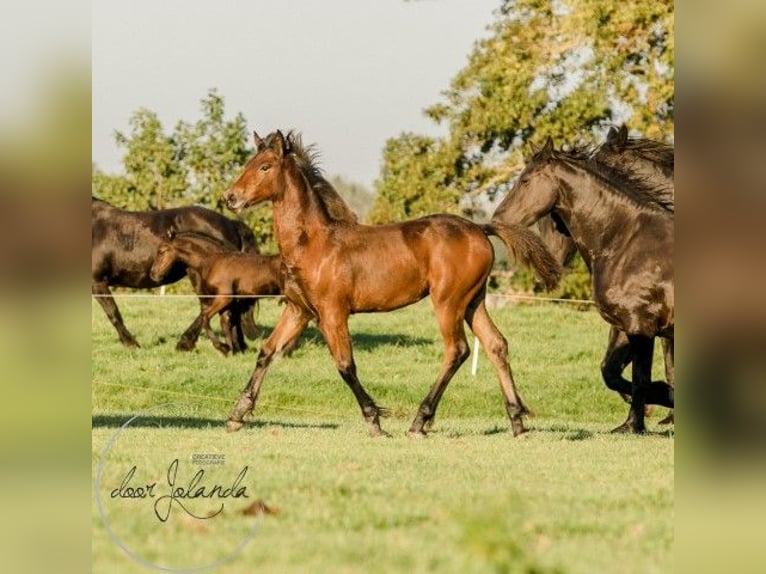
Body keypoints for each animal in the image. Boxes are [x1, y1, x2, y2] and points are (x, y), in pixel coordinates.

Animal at [92, 197, 260, 352]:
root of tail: (231, 224)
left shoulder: (97, 282)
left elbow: (113, 312)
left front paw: (132, 344)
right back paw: (239, 346)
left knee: (208, 307)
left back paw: (186, 343)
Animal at [148, 232, 284, 358]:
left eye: (162, 251)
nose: (153, 274)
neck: (213, 261)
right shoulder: (226, 303)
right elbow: (225, 323)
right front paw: (230, 350)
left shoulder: (224, 298)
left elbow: (205, 317)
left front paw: (222, 348)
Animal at [222, 129, 564, 436]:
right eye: (249, 163)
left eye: (265, 167)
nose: (230, 197)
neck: (313, 244)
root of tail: (480, 229)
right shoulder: (298, 310)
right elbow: (267, 351)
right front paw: (237, 414)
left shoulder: (333, 314)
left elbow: (345, 365)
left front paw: (375, 421)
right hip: (473, 301)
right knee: (495, 345)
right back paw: (517, 422)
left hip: (448, 302)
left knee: (457, 350)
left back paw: (420, 421)